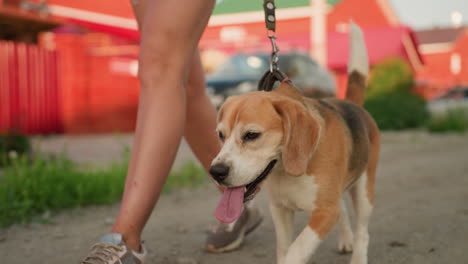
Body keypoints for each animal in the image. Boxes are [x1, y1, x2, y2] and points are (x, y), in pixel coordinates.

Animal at [210, 23, 378, 264]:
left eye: (251, 135)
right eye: (221, 135)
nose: (216, 172)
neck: (286, 171)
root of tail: (351, 104)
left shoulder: (325, 212)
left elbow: (297, 250)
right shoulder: (280, 209)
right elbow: (284, 248)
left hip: (364, 191)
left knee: (363, 231)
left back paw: (358, 256)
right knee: (344, 212)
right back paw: (346, 240)